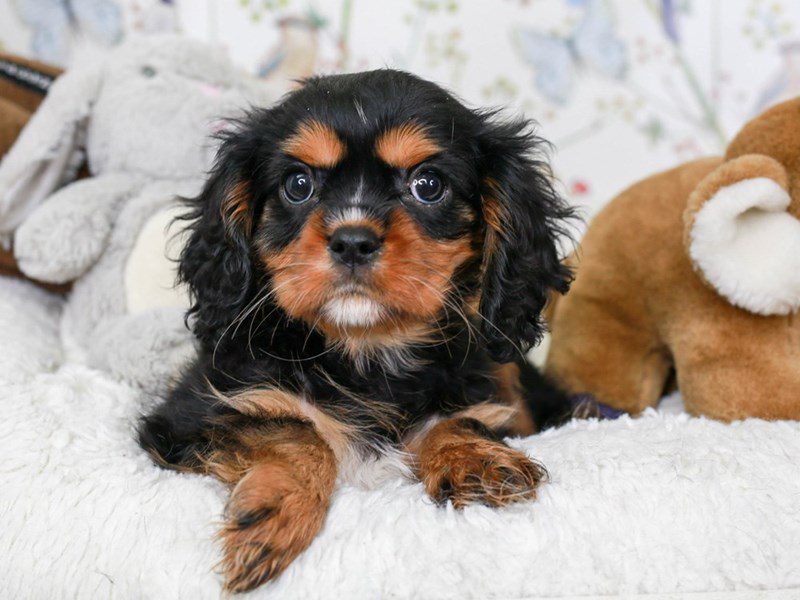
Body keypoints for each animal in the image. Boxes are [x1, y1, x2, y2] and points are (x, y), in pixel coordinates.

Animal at [139, 69, 576, 592]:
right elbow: (293, 430)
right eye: (298, 185)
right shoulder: (188, 415)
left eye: (428, 185)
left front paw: (478, 461)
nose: (352, 241)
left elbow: (455, 419)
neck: (366, 349)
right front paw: (272, 515)